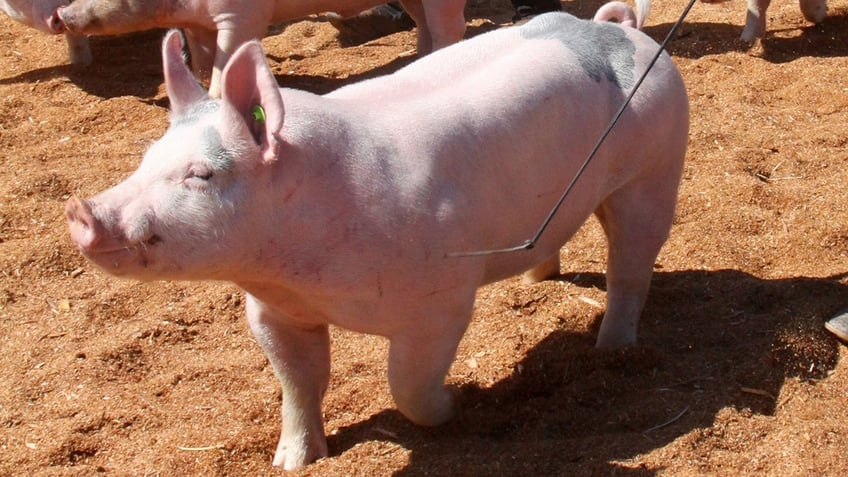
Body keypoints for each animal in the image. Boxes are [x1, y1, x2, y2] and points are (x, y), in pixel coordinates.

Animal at [66, 5, 688, 468]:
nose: (81, 209)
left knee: (630, 267)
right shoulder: (273, 311)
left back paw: (612, 348)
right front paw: (292, 461)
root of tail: (621, 30)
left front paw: (456, 404)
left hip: (655, 171)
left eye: (201, 174)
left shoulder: (442, 302)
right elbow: (299, 382)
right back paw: (540, 280)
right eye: (148, 158)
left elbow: (405, 385)